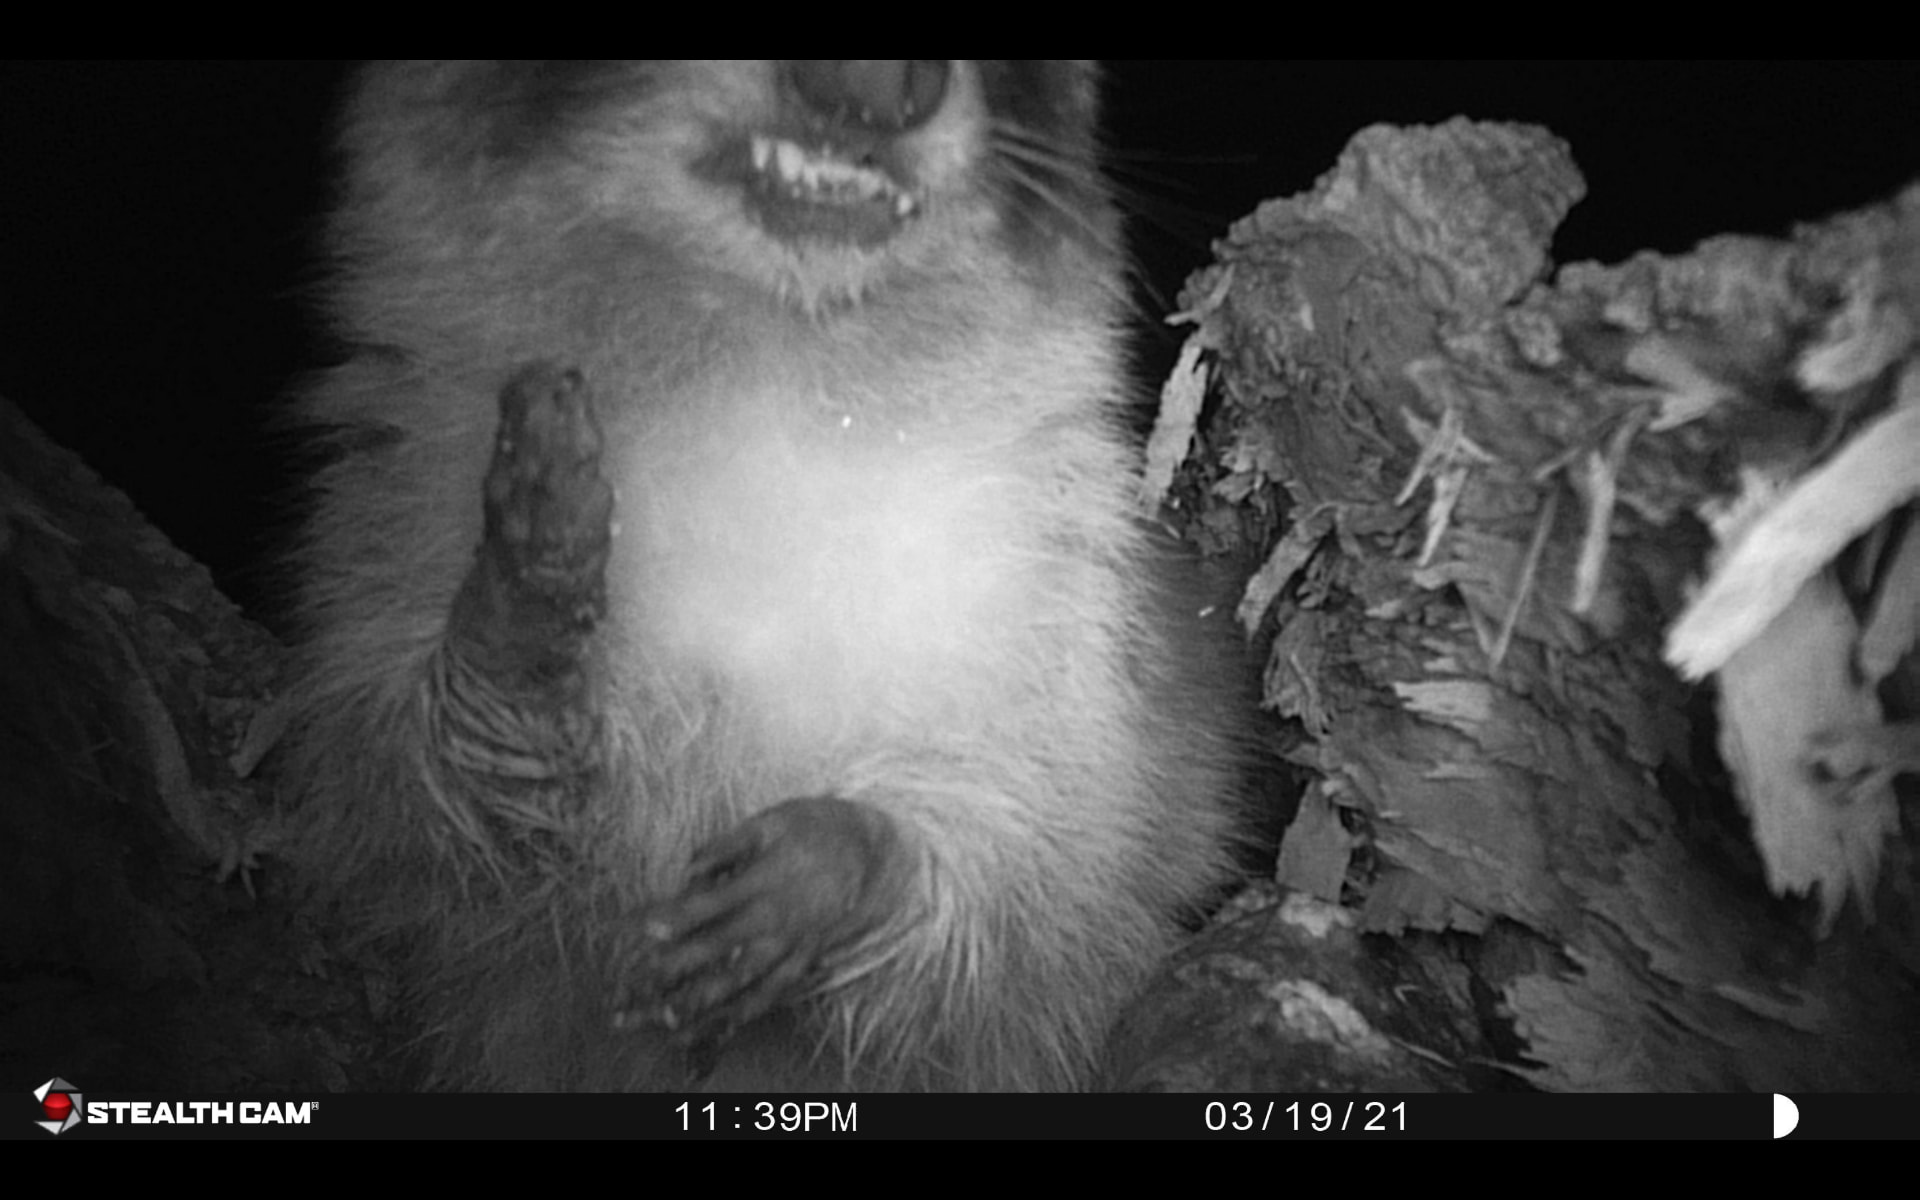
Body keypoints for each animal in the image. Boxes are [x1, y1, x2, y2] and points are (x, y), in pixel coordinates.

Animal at [287, 60, 1244, 1091]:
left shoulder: (1073, 616)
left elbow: (1037, 870)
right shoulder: (384, 529)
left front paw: (841, 863)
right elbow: (422, 794)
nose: (876, 94)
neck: (772, 362)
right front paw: (520, 609)